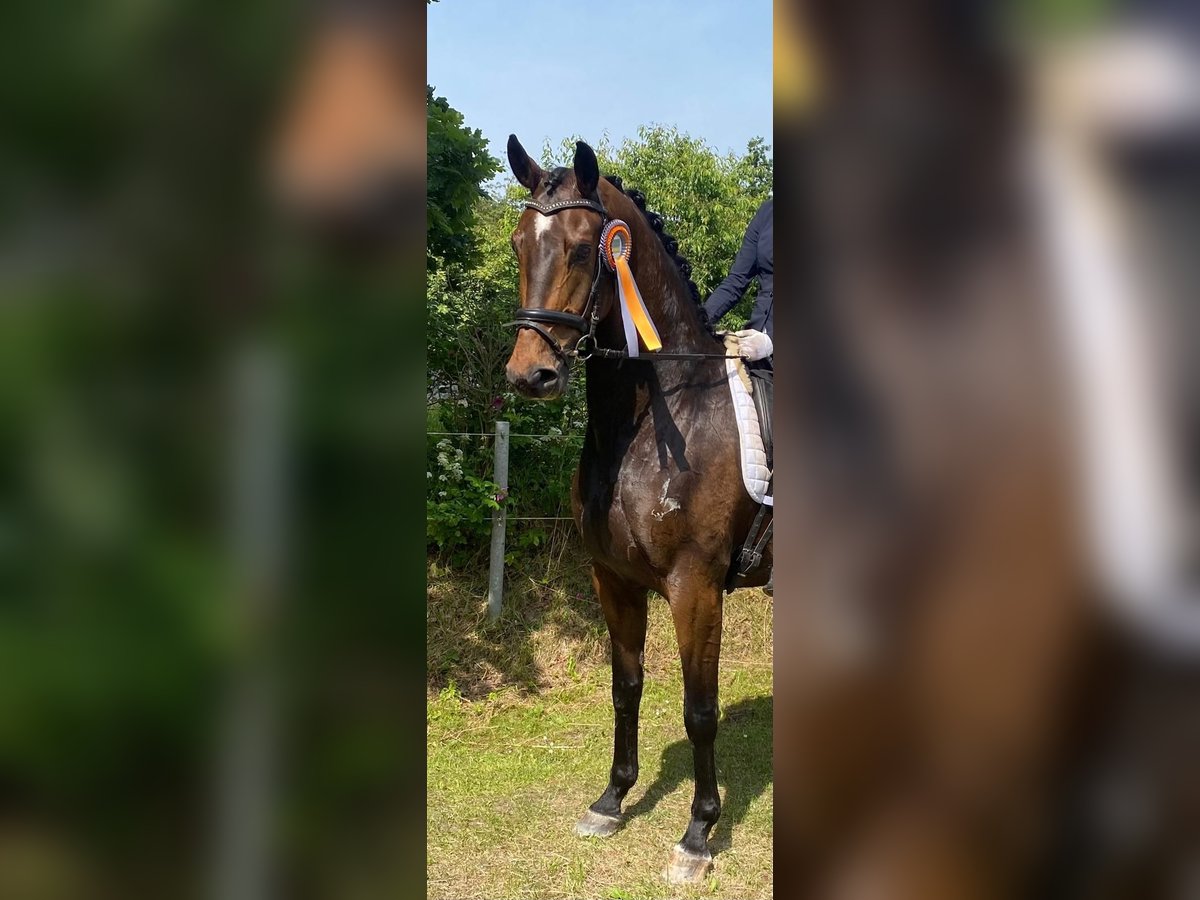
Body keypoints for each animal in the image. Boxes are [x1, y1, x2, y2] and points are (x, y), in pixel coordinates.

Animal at [502, 134, 772, 884]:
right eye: (518, 244)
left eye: (582, 250)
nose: (530, 376)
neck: (657, 419)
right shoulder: (612, 579)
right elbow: (626, 688)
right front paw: (611, 800)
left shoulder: (695, 586)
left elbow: (700, 710)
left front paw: (698, 834)